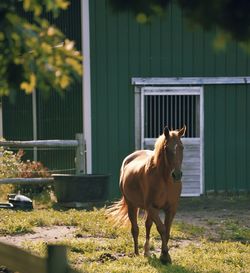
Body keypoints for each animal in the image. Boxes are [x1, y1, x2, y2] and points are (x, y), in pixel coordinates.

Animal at [106, 125, 186, 262]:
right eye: (167, 148)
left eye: (181, 147)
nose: (177, 175)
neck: (165, 180)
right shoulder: (151, 207)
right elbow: (162, 229)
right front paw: (165, 256)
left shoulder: (171, 208)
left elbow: (167, 230)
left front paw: (164, 255)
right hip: (132, 205)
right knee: (135, 229)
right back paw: (137, 252)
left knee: (148, 225)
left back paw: (146, 251)